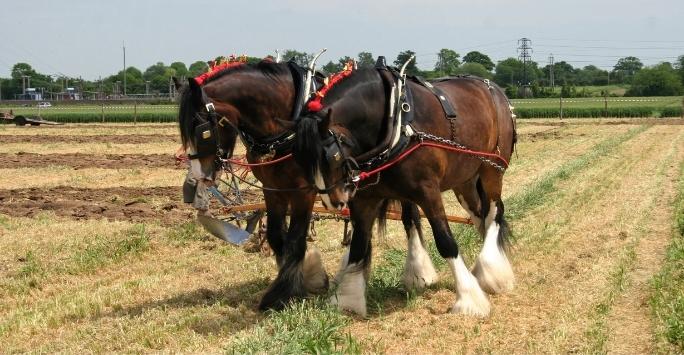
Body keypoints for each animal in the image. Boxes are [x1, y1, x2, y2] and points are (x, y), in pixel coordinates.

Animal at [292, 68, 516, 318]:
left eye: (331, 155)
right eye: (299, 158)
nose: (334, 202)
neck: (395, 122)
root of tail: (496, 90)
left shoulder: (428, 192)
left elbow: (445, 241)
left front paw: (469, 299)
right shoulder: (365, 199)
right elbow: (359, 246)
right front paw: (348, 300)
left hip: (492, 170)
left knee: (494, 213)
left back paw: (491, 271)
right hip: (465, 181)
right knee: (480, 216)